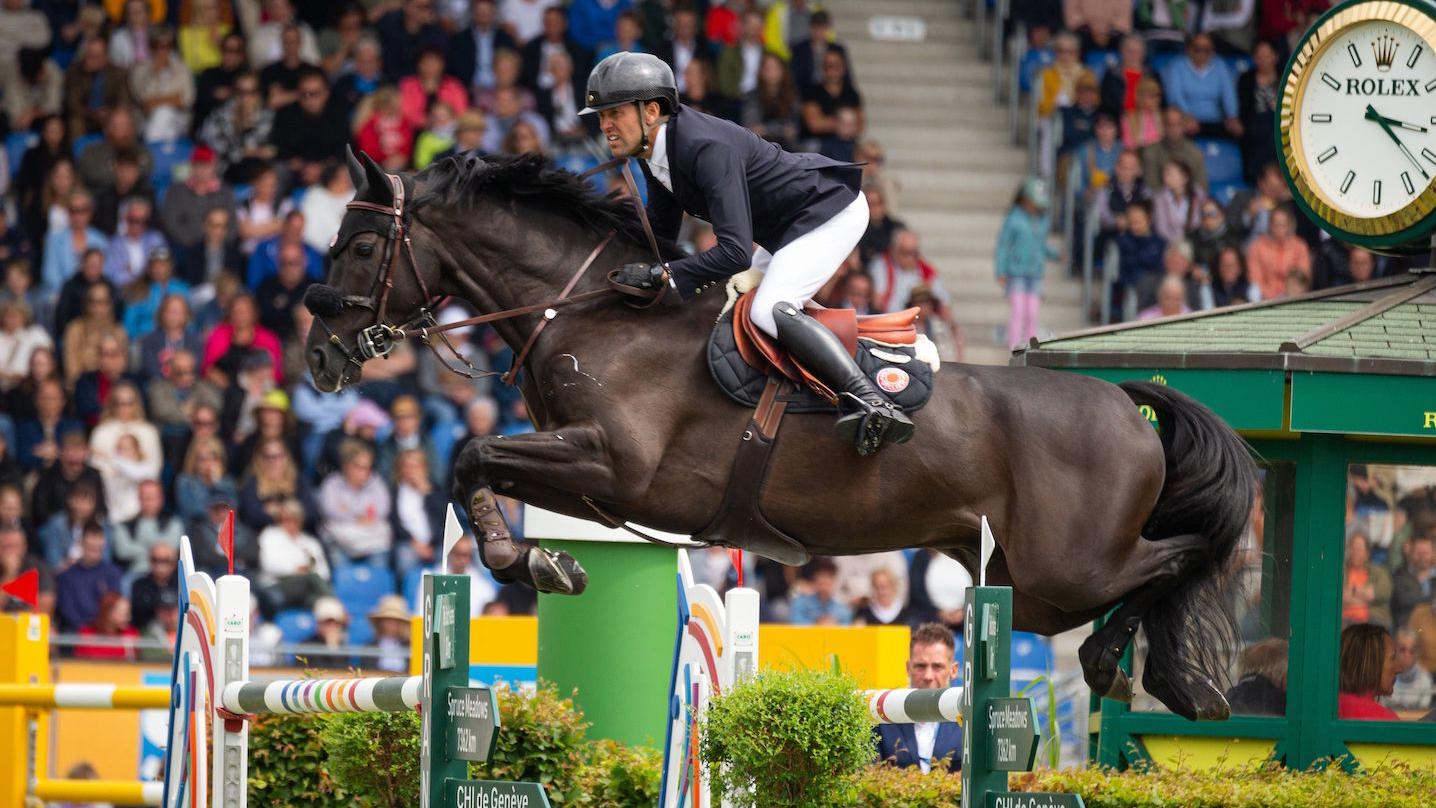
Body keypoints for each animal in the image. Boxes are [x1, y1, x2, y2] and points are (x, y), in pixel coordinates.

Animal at [308, 152, 1252, 720]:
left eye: (359, 248)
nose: (318, 357)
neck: (594, 312)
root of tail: (1124, 405)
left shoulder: (614, 466)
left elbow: (472, 454)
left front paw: (529, 562)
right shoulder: (587, 478)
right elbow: (473, 465)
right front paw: (542, 561)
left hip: (1065, 565)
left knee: (1179, 555)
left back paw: (1148, 675)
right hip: (1024, 574)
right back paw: (1132, 670)